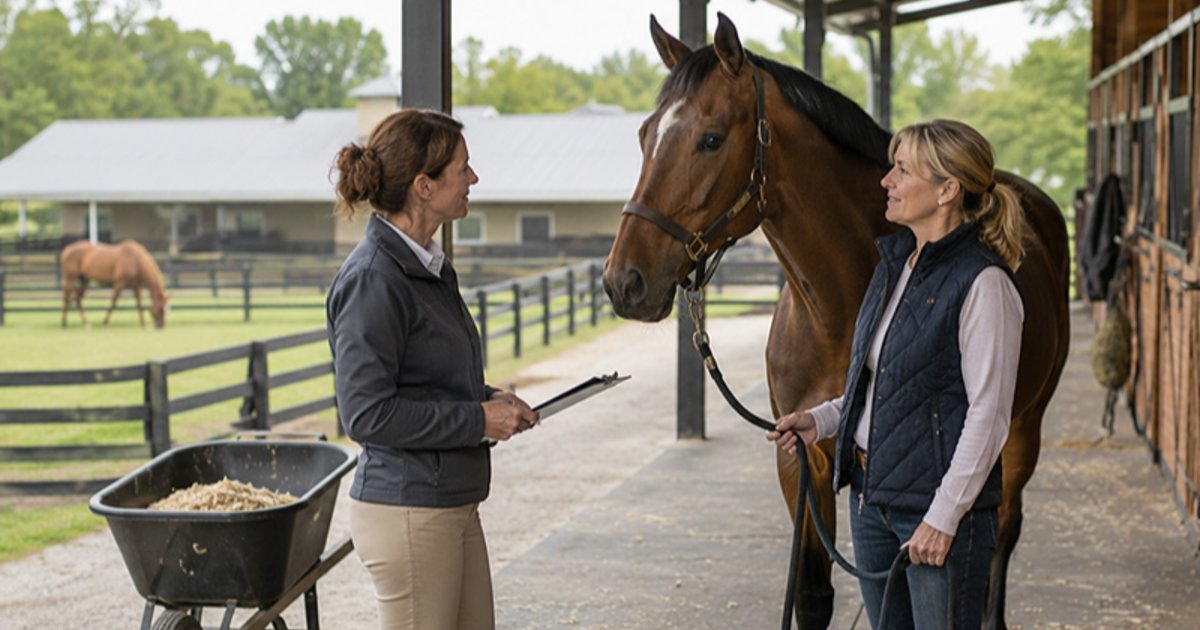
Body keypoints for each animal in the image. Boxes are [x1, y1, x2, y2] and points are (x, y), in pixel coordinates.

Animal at [602, 14, 1070, 630]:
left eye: (711, 139)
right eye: (643, 135)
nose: (623, 282)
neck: (835, 308)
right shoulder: (801, 455)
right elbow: (812, 593)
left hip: (1019, 430)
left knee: (1002, 534)